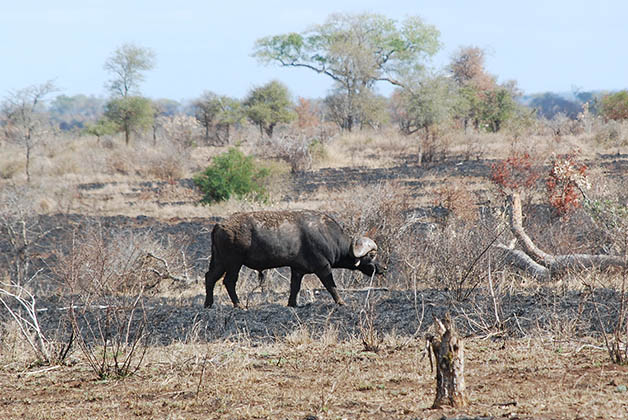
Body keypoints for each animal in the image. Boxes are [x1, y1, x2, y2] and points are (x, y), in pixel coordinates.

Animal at [204, 208, 386, 306]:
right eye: (372, 255)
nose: (383, 268)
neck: (328, 236)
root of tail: (219, 225)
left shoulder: (297, 270)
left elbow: (294, 288)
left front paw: (292, 304)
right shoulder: (323, 267)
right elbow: (331, 286)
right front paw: (341, 302)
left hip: (220, 261)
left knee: (210, 277)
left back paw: (208, 304)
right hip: (233, 263)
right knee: (229, 282)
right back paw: (239, 305)